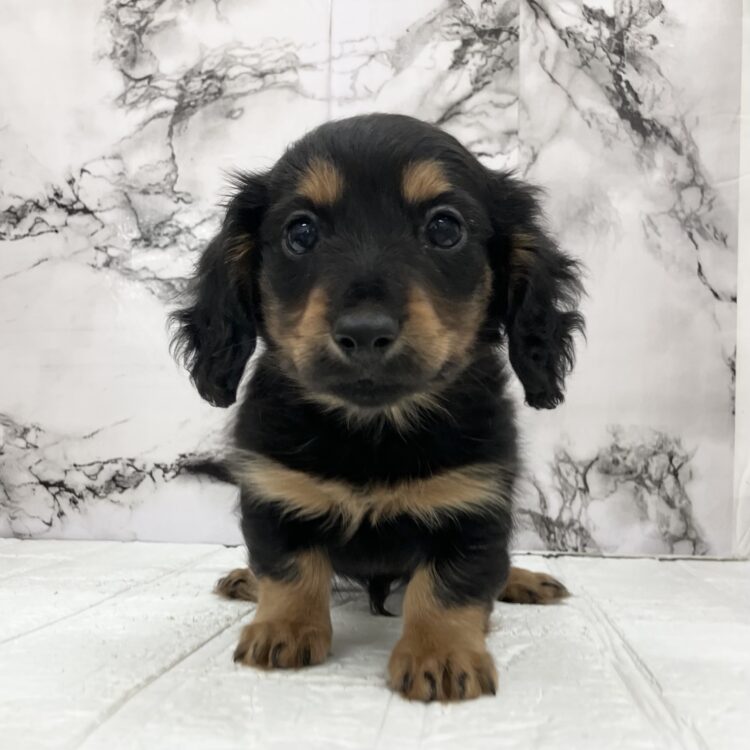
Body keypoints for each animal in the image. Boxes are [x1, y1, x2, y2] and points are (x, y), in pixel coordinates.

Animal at [171, 113, 584, 702]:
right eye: (300, 232)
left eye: (445, 228)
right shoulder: (274, 492)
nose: (364, 332)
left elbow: (451, 585)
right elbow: (288, 568)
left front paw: (440, 654)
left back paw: (523, 581)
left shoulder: (475, 504)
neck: (373, 429)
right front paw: (282, 628)